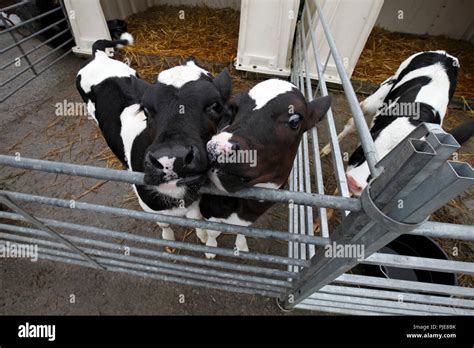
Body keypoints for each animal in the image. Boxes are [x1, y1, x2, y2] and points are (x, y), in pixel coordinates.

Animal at [76, 34, 233, 242]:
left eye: (215, 106)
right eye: (146, 110)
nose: (172, 160)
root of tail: (99, 57)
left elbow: (197, 220)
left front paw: (204, 238)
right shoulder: (148, 204)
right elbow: (164, 223)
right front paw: (168, 238)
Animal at [196, 79, 330, 258]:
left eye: (295, 121)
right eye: (234, 108)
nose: (217, 148)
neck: (246, 207)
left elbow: (242, 231)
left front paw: (241, 245)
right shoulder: (208, 208)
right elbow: (212, 230)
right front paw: (210, 247)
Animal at [320, 50, 458, 196]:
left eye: (393, 169)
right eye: (364, 151)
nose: (353, 182)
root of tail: (445, 54)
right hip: (376, 97)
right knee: (351, 125)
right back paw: (327, 149)